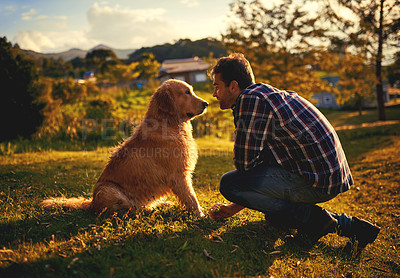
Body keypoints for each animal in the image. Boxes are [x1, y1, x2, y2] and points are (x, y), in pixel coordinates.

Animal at [41, 78, 208, 217]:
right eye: (186, 92)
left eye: (191, 90)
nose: (206, 103)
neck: (168, 123)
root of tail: (92, 203)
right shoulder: (179, 174)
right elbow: (191, 198)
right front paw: (201, 216)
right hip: (106, 189)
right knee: (126, 209)